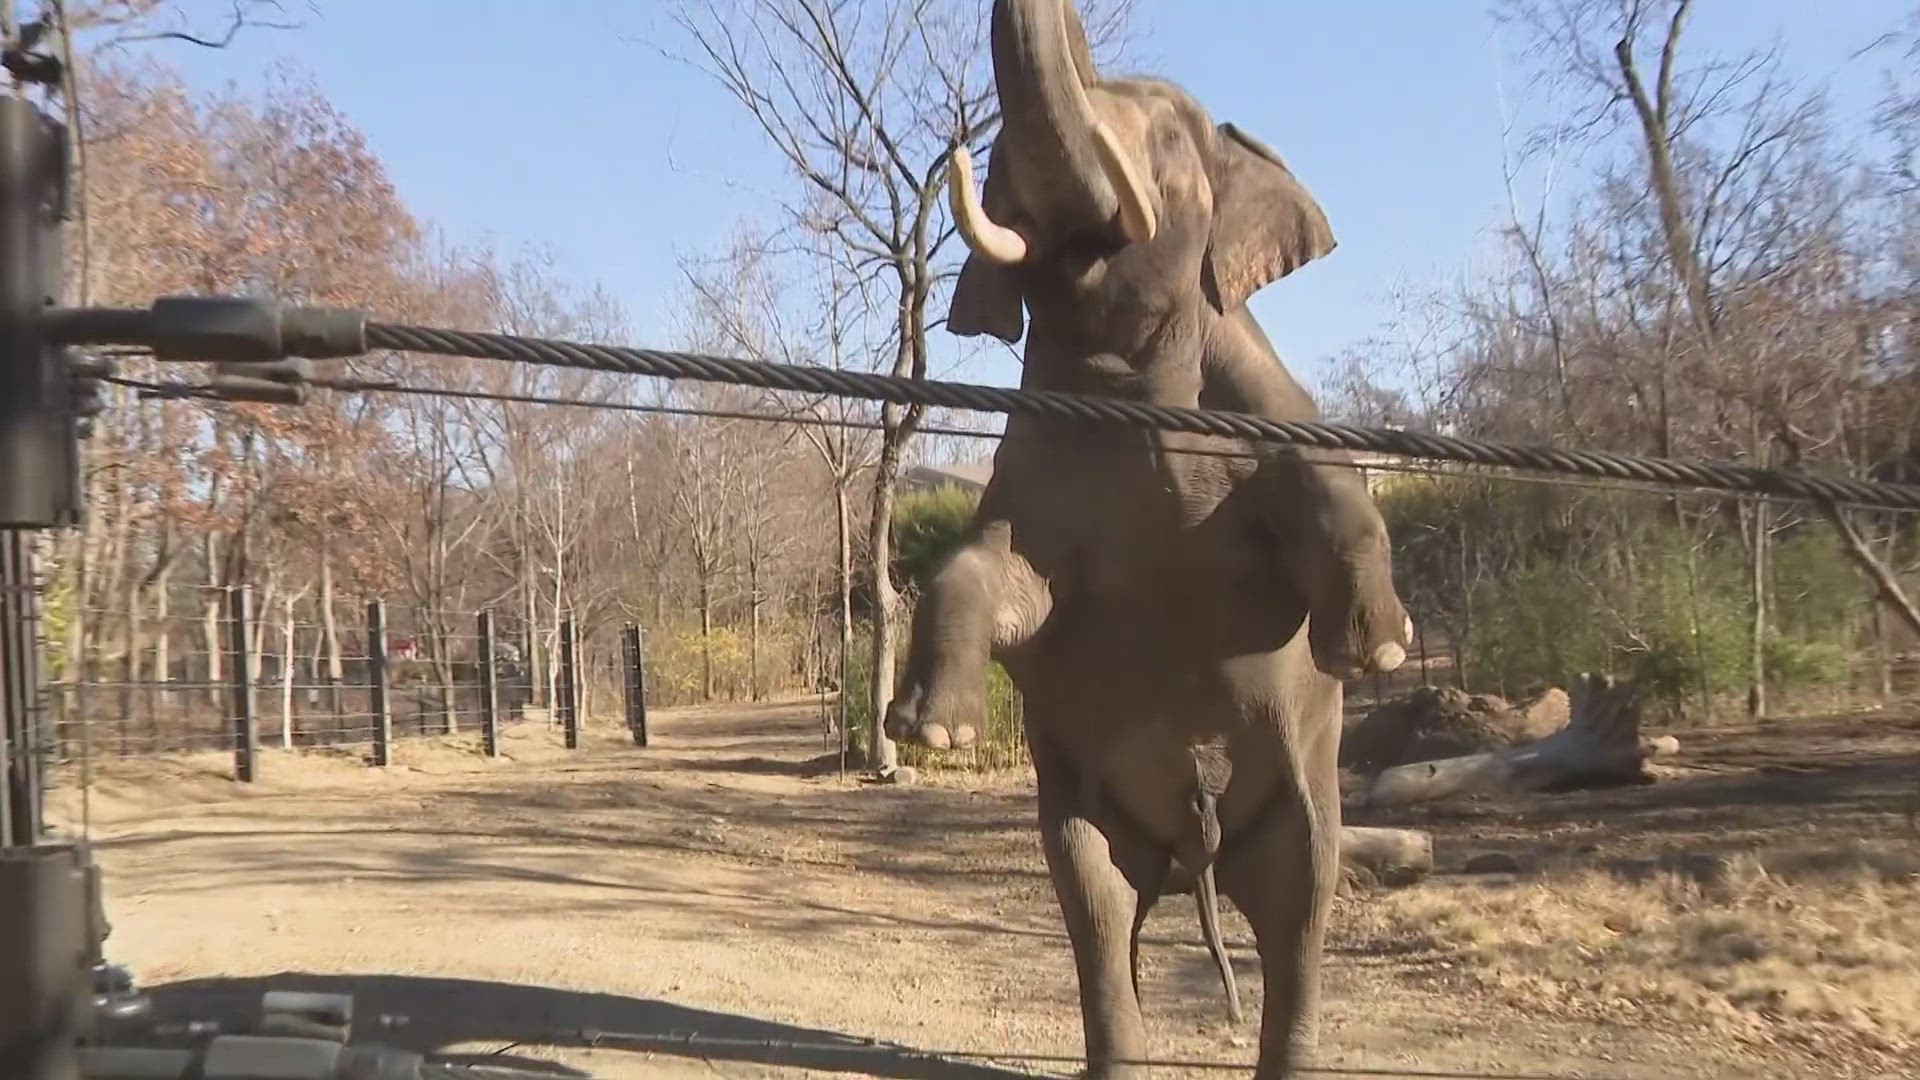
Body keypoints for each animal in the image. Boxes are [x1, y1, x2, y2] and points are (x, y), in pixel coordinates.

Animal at [883, 4, 1413, 1068]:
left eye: (1170, 137)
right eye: (996, 167)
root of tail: (1189, 851)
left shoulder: (1261, 402)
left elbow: (1328, 481)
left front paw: (1374, 648)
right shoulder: (1033, 464)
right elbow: (995, 569)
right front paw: (933, 732)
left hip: (1301, 804)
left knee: (1300, 900)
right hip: (1090, 812)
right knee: (1096, 898)